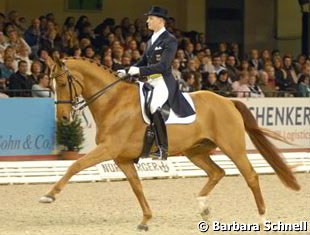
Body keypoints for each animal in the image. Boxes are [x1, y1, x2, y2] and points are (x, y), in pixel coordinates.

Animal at [40, 57, 300, 231]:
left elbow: (75, 166)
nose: (64, 118)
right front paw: (145, 220)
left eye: (62, 83)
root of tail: (228, 101)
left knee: (251, 176)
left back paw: (262, 219)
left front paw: (49, 196)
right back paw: (204, 208)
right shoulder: (121, 158)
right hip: (195, 152)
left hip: (232, 148)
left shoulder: (108, 149)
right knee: (217, 172)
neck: (114, 102)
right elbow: (137, 187)